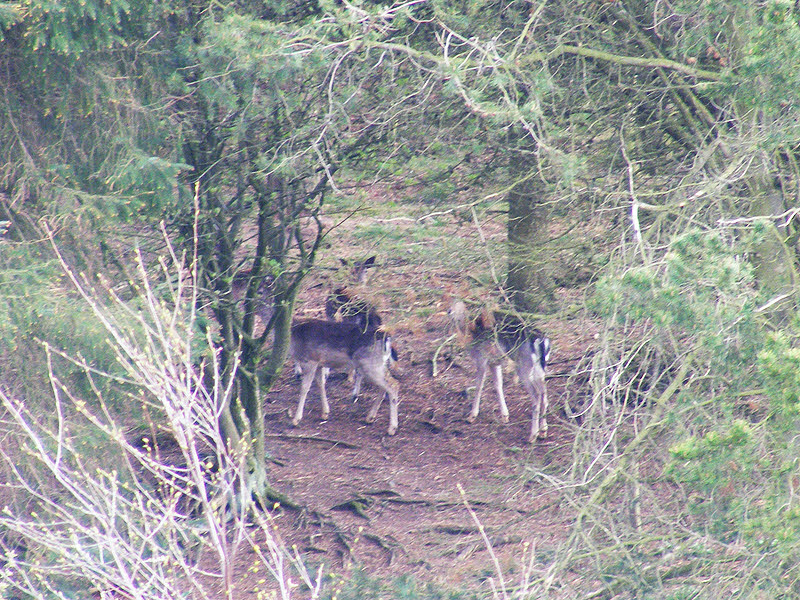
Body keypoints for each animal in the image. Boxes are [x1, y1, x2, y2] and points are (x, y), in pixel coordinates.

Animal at [448, 300, 551, 443]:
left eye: (458, 307)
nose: (449, 311)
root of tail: (542, 342)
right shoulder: (494, 363)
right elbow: (498, 385)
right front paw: (505, 416)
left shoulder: (482, 359)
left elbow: (479, 386)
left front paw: (472, 415)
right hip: (540, 368)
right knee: (544, 392)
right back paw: (543, 430)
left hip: (524, 367)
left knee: (536, 394)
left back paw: (532, 436)